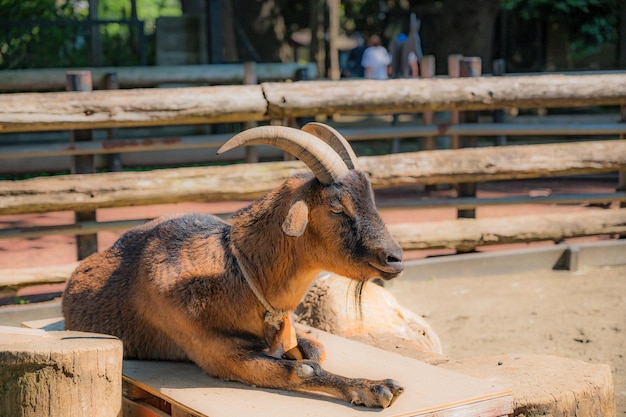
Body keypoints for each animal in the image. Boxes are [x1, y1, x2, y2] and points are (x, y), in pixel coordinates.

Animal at [63, 122, 404, 408]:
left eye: (372, 200)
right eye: (336, 207)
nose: (395, 258)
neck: (240, 278)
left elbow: (315, 350)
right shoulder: (219, 354)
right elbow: (302, 370)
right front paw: (378, 388)